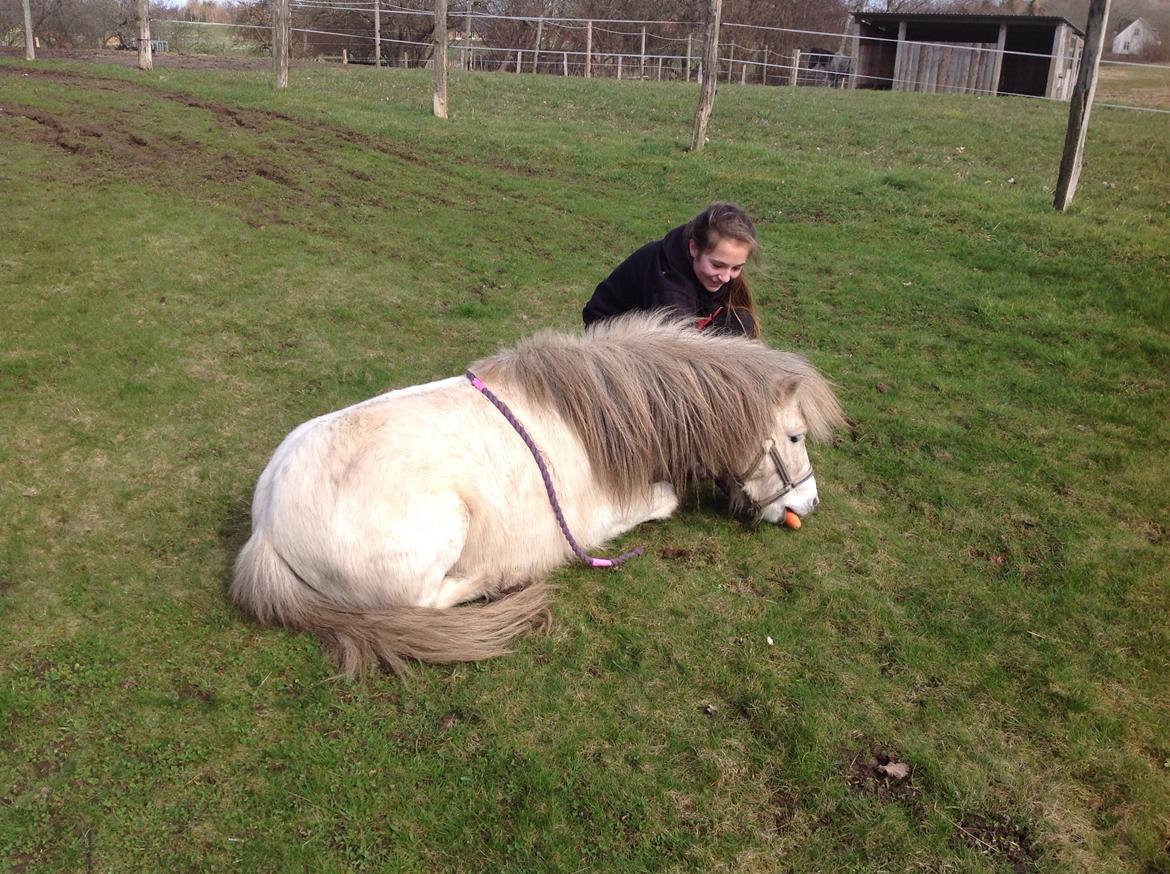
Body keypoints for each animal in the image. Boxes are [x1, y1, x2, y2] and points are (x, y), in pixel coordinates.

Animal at [235, 313, 842, 678]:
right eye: (795, 437)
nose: (808, 505)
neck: (595, 420)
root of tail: (266, 529)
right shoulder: (599, 521)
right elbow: (666, 499)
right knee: (427, 602)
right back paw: (501, 578)